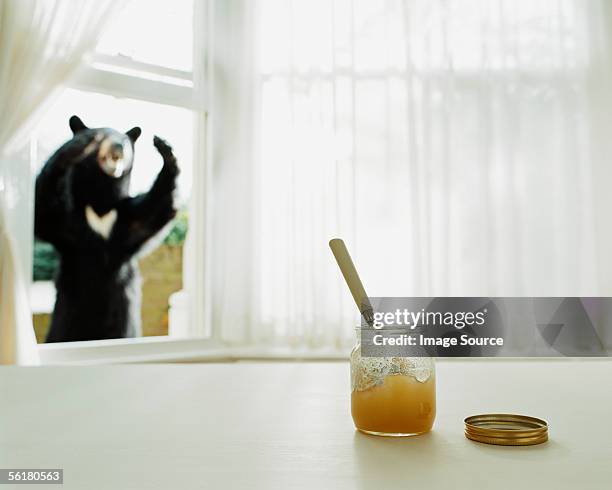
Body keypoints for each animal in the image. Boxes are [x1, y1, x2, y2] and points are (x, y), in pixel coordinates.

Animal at [35, 117, 179, 342]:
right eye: (101, 137)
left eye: (126, 142)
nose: (118, 147)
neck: (100, 205)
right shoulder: (68, 223)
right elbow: (46, 212)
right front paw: (75, 147)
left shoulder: (126, 220)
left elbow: (155, 211)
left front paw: (165, 150)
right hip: (65, 322)